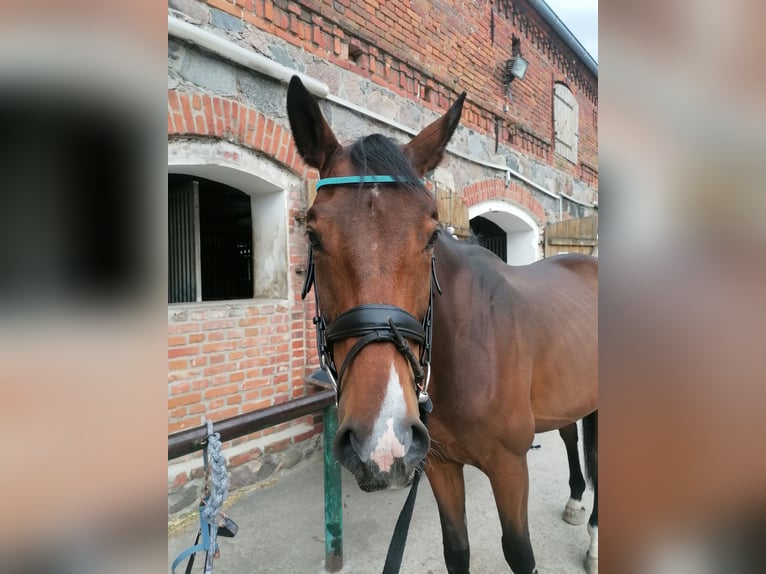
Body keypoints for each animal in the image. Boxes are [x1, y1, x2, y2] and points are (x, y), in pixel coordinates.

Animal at [288, 77, 600, 574]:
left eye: (432, 234)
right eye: (314, 236)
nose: (382, 441)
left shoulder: (510, 468)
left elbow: (520, 553)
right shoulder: (438, 465)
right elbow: (456, 549)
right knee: (571, 433)